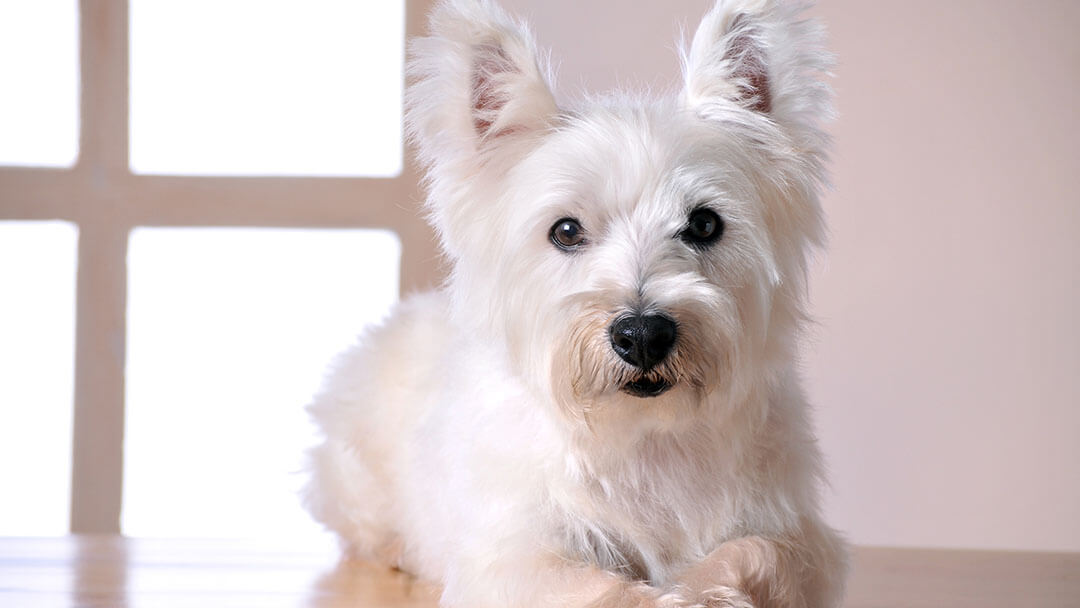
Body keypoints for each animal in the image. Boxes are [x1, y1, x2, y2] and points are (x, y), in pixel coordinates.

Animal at [302, 2, 842, 604]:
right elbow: (595, 586)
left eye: (704, 223)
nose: (642, 335)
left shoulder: (799, 537)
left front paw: (703, 589)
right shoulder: (511, 555)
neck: (642, 438)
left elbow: (755, 553)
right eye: (565, 230)